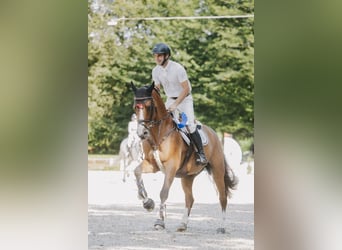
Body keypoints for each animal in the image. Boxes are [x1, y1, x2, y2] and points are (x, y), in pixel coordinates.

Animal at [131, 81, 238, 232]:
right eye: (135, 107)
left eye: (149, 106)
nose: (142, 133)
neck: (158, 134)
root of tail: (214, 134)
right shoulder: (152, 164)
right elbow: (136, 172)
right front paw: (147, 202)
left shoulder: (171, 167)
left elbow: (163, 192)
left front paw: (159, 221)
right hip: (187, 176)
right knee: (190, 199)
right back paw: (183, 224)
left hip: (217, 171)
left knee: (223, 197)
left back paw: (222, 227)